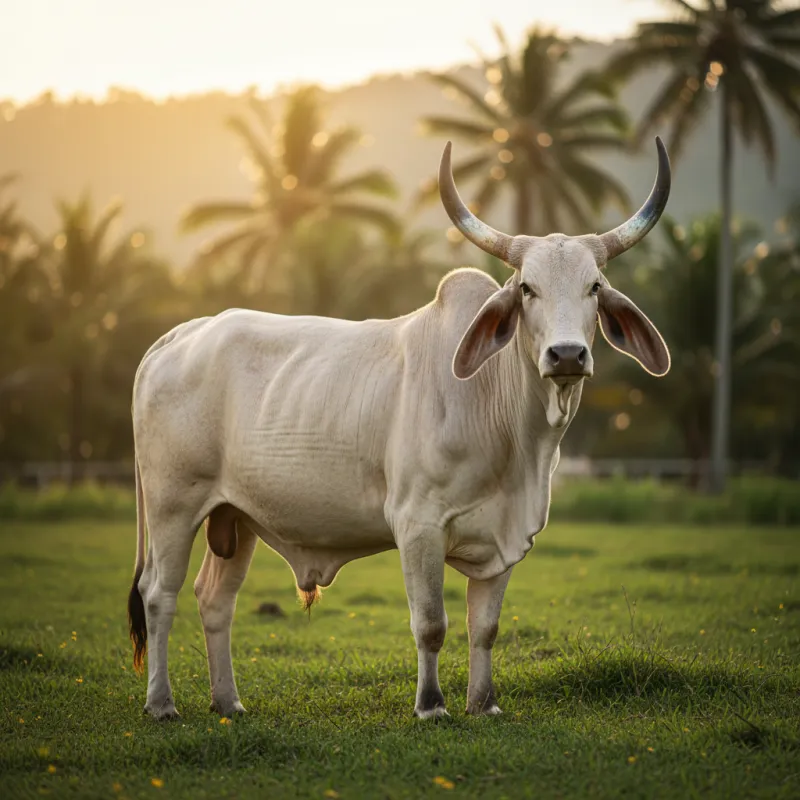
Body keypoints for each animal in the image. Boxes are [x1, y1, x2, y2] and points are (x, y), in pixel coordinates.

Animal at [128, 139, 671, 720]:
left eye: (595, 286)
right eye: (527, 288)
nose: (567, 355)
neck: (509, 431)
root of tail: (180, 335)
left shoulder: (504, 539)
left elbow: (485, 629)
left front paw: (484, 703)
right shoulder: (418, 525)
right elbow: (431, 624)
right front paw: (431, 705)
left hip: (235, 516)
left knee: (215, 600)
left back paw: (228, 701)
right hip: (173, 505)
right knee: (159, 595)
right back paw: (161, 703)